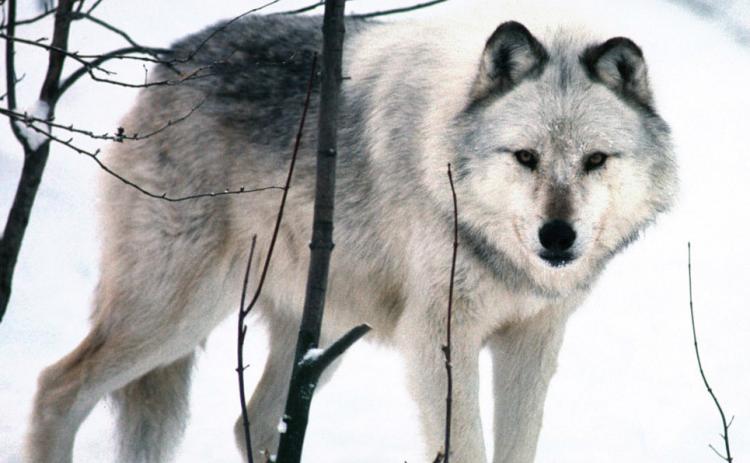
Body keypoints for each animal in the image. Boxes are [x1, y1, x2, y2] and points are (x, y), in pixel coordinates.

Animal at [25, 12, 676, 463]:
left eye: (595, 160)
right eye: (525, 157)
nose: (558, 236)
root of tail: (172, 61)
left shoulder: (532, 341)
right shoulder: (438, 339)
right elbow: (466, 447)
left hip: (320, 332)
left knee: (257, 423)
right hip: (179, 315)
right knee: (57, 388)